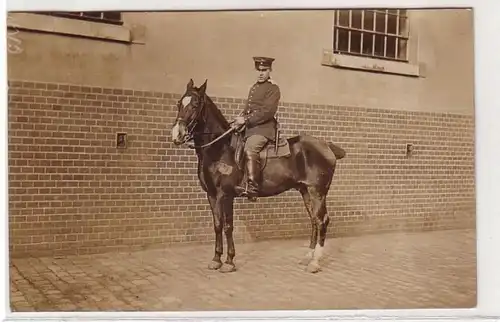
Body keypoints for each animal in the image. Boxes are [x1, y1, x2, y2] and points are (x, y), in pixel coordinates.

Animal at [171, 79, 344, 272]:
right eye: (179, 103)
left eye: (195, 105)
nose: (177, 134)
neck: (220, 148)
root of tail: (327, 146)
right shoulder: (211, 195)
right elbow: (217, 225)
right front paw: (216, 259)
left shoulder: (226, 195)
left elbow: (228, 226)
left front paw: (229, 261)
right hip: (305, 191)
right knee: (314, 219)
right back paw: (308, 257)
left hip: (317, 192)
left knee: (322, 221)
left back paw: (315, 262)